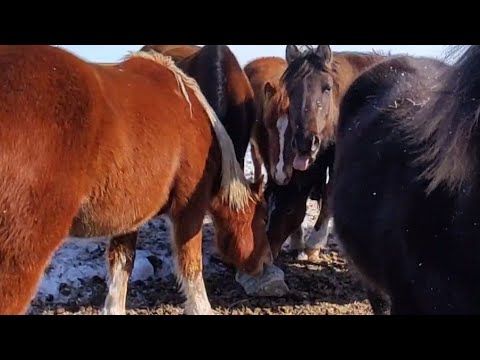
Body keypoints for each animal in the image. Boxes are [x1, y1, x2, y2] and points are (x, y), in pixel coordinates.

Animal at [0, 45, 274, 316]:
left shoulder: (128, 215)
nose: (266, 261)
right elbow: (192, 268)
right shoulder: (189, 210)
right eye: (262, 218)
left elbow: (121, 267)